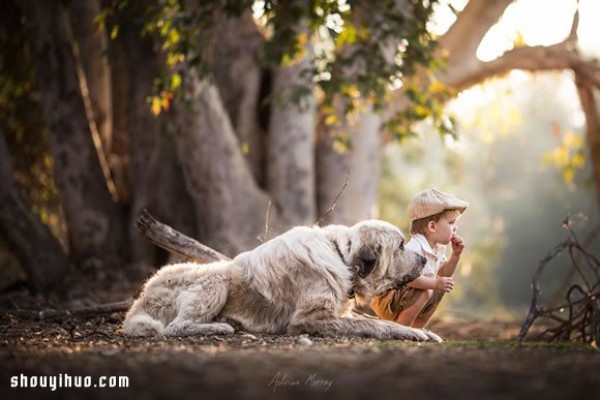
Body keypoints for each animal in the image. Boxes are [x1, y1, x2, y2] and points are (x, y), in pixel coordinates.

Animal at [123, 219, 440, 340]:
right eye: (400, 246)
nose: (425, 260)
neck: (340, 256)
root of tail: (141, 298)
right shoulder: (310, 318)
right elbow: (373, 324)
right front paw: (414, 333)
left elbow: (373, 320)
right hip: (215, 279)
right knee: (175, 327)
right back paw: (221, 326)